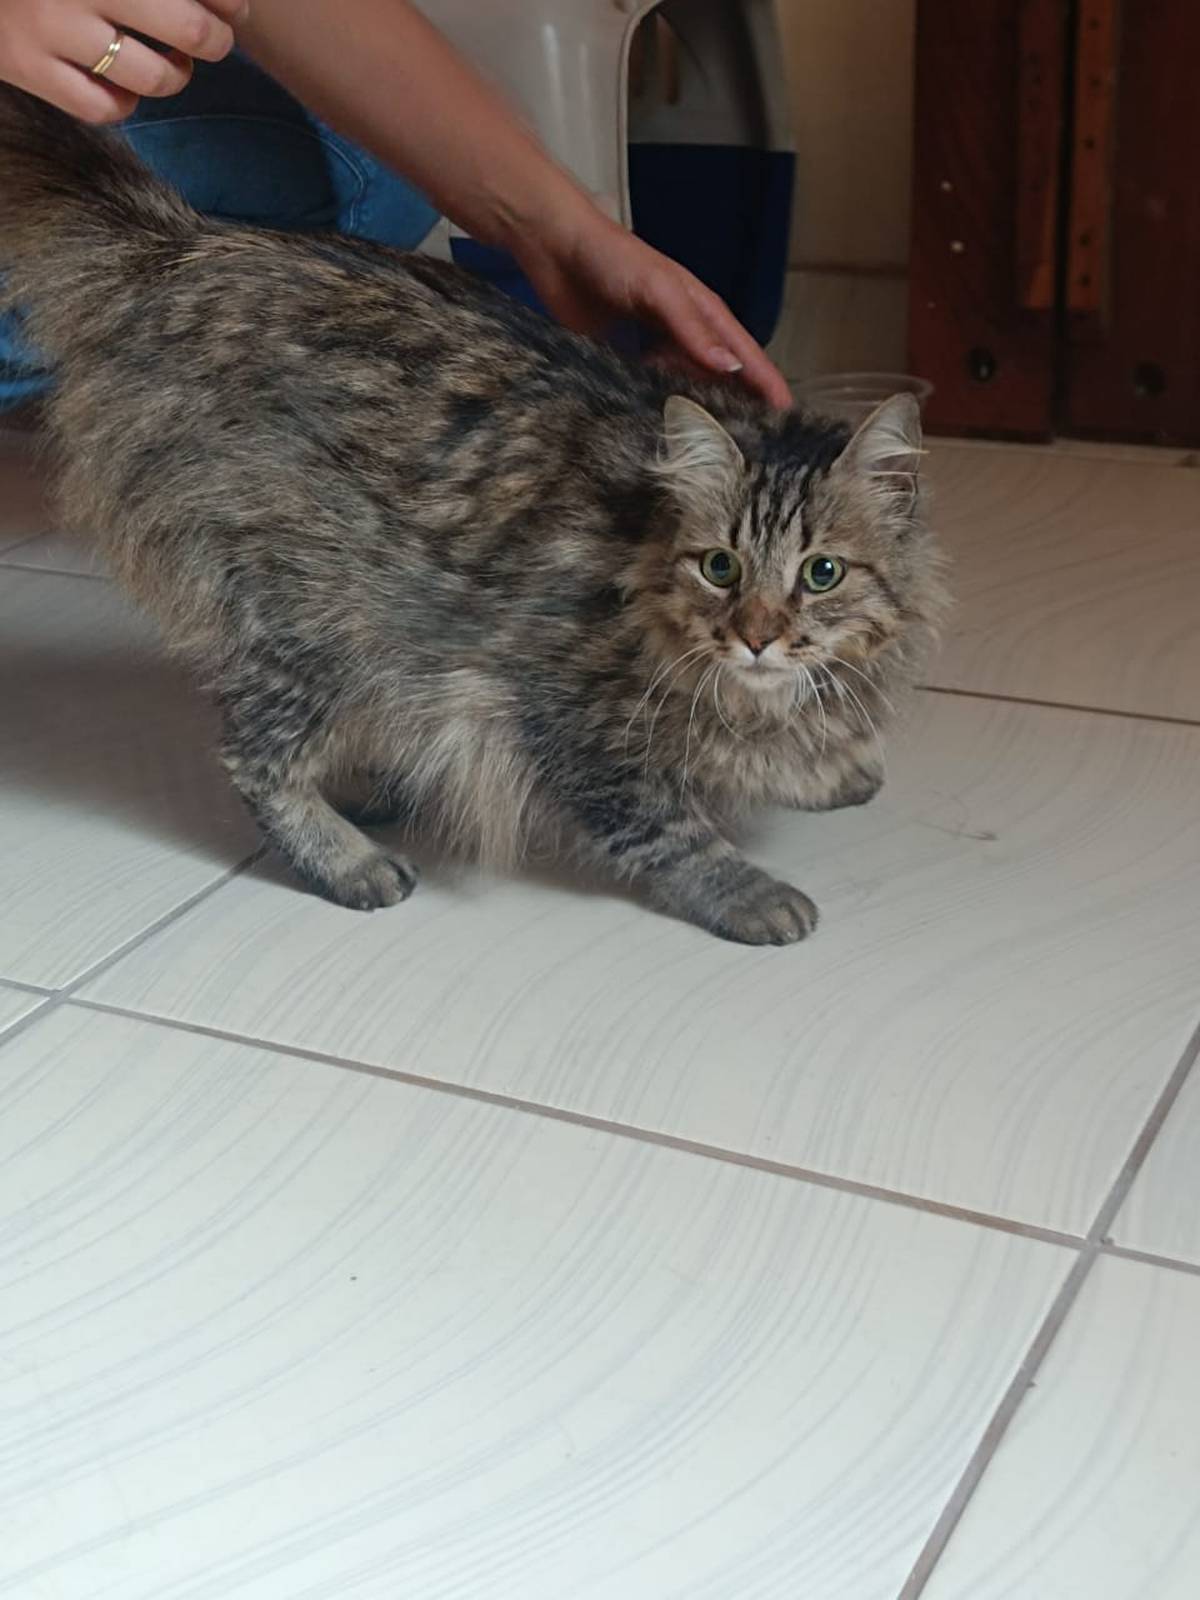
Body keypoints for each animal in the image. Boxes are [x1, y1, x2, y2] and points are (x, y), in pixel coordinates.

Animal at [0, 87, 945, 945]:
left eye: (821, 573)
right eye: (722, 568)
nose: (755, 635)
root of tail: (188, 243)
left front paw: (825, 763)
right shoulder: (567, 719)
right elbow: (667, 828)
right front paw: (747, 888)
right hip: (312, 612)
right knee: (254, 755)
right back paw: (348, 859)